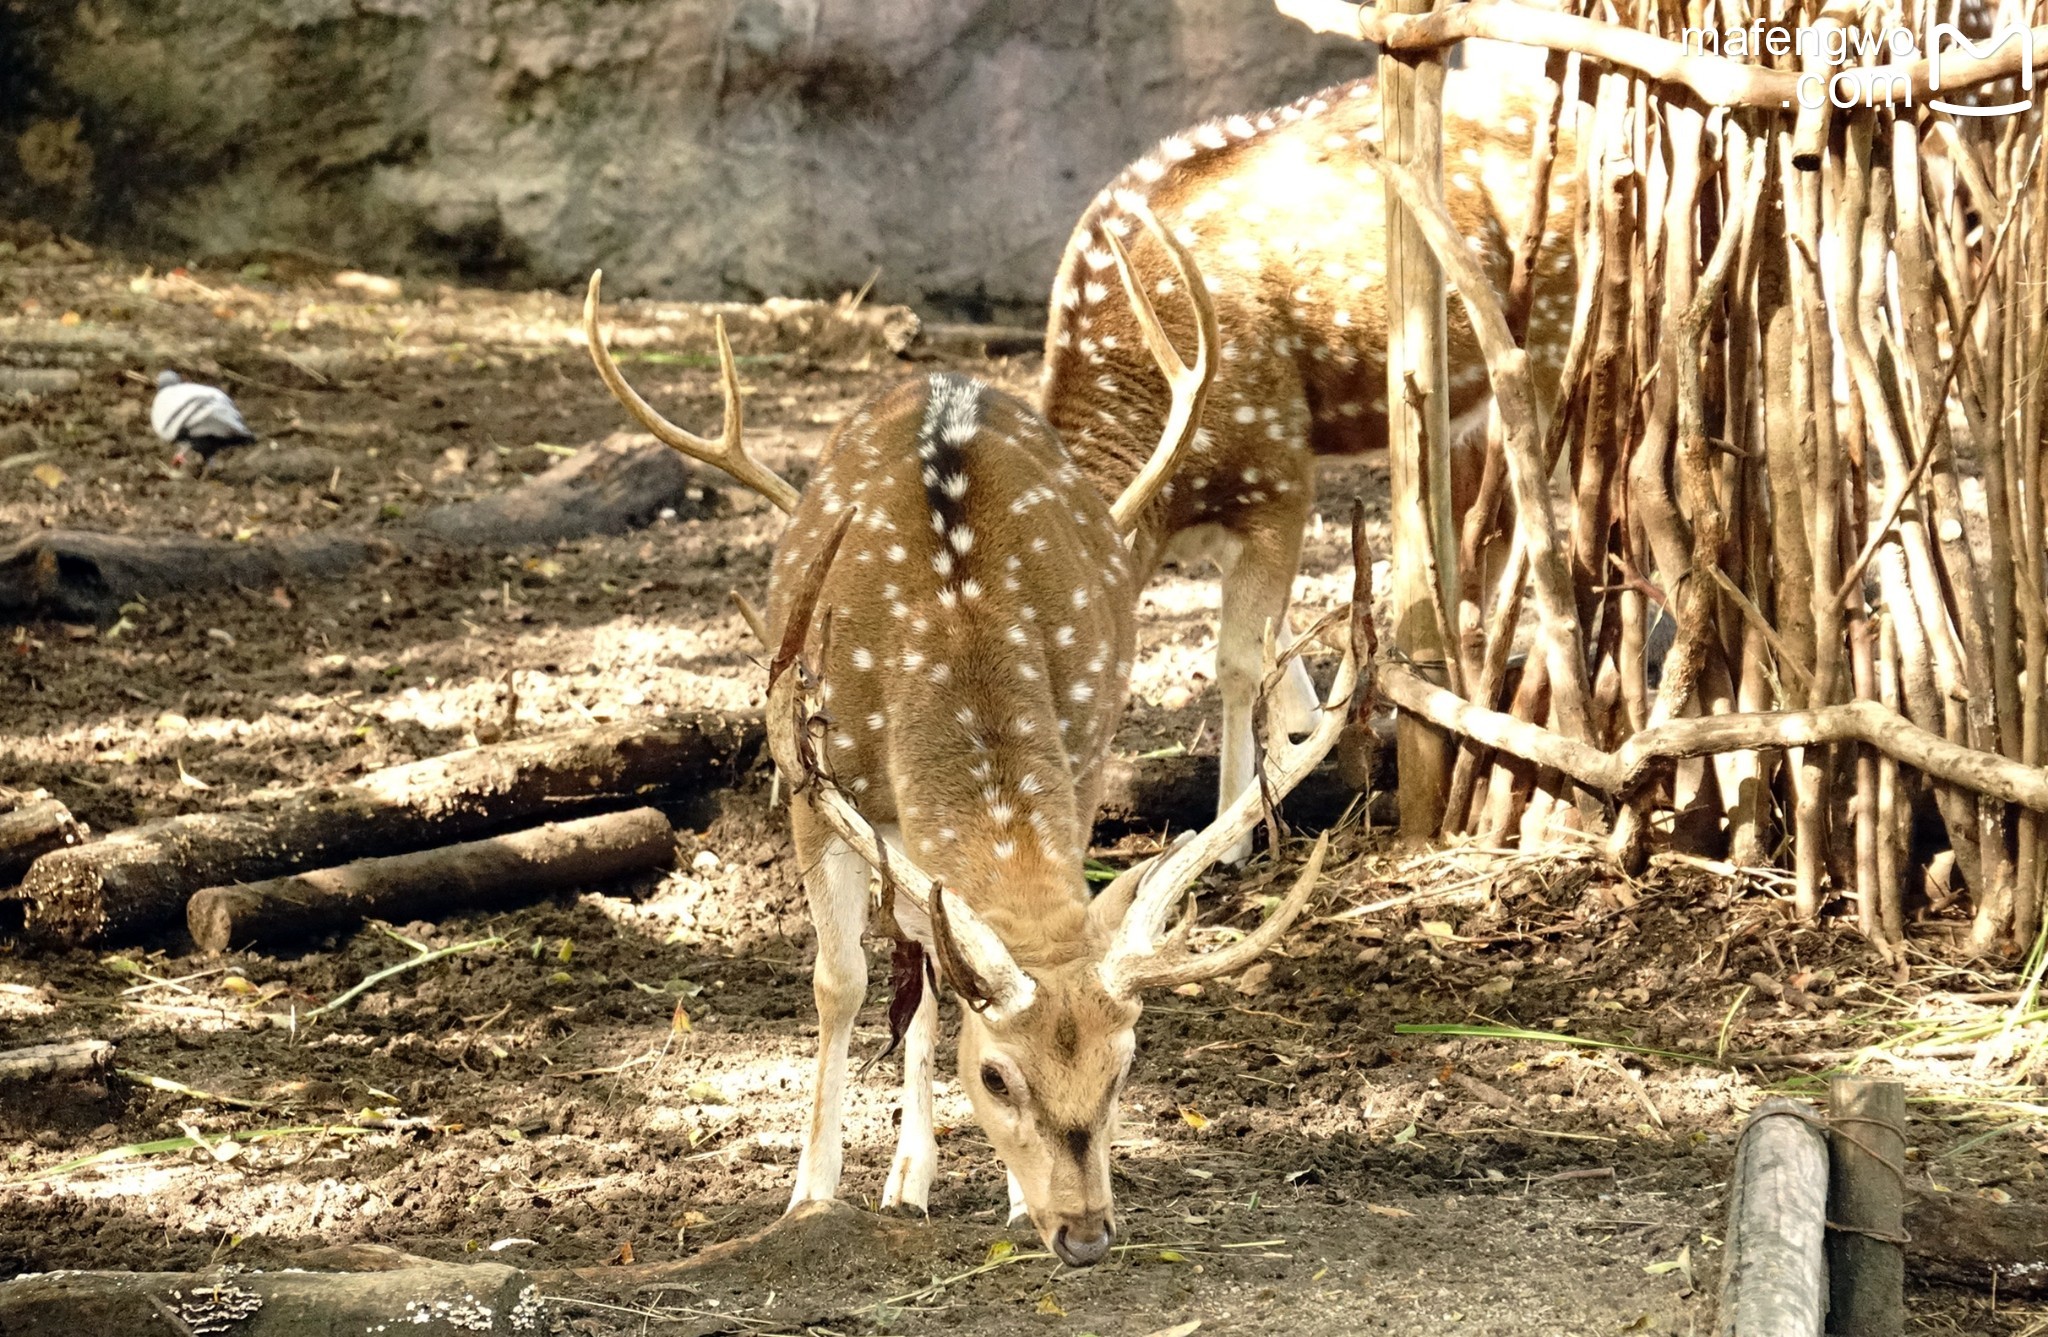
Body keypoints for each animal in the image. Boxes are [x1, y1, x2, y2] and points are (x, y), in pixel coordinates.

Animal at [585, 205, 1359, 1261]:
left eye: (1125, 1065)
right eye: (995, 1073)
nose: (1085, 1233)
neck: (954, 627)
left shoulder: (1084, 753)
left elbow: (944, 964)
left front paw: (994, 1194)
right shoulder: (810, 777)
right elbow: (841, 979)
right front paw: (812, 1193)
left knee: (926, 955)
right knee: (906, 958)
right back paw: (900, 1176)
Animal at [1040, 62, 1581, 855]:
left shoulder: (1275, 466)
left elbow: (1236, 662)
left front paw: (1229, 838)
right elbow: (1280, 647)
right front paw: (1305, 736)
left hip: (1549, 338)